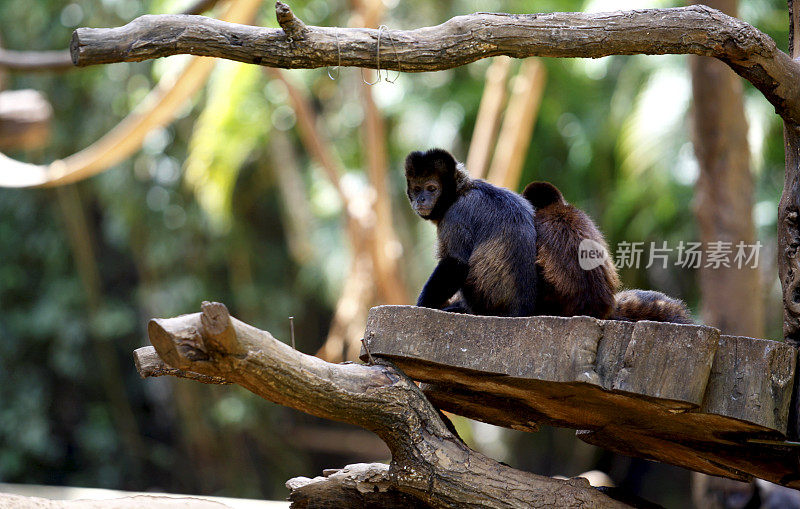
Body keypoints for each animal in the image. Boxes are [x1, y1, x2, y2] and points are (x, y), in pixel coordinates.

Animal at [406, 147, 536, 316]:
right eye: (417, 189)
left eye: (431, 189)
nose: (420, 199)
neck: (459, 192)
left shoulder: (456, 215)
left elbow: (456, 262)